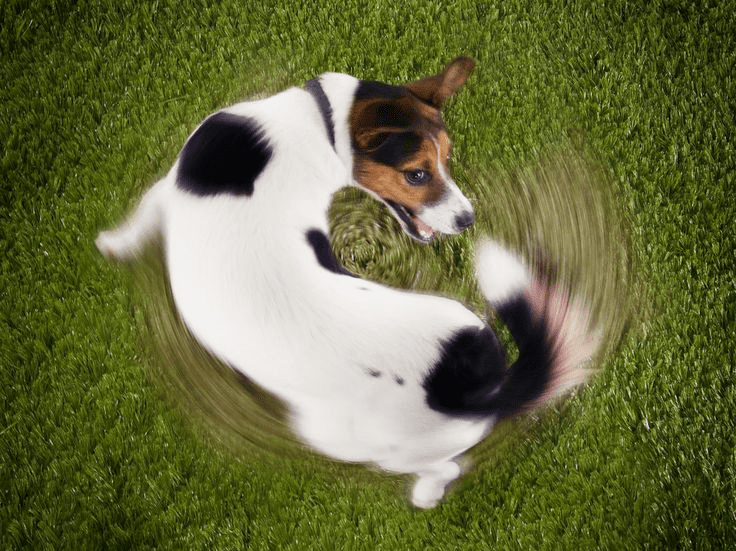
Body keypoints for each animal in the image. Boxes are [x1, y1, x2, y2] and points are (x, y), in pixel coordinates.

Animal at [95, 57, 600, 508]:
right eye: (418, 173)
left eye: (447, 161)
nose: (468, 219)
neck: (318, 124)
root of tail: (482, 388)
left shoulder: (166, 188)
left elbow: (137, 220)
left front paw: (110, 245)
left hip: (353, 440)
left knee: (445, 467)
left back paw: (424, 495)